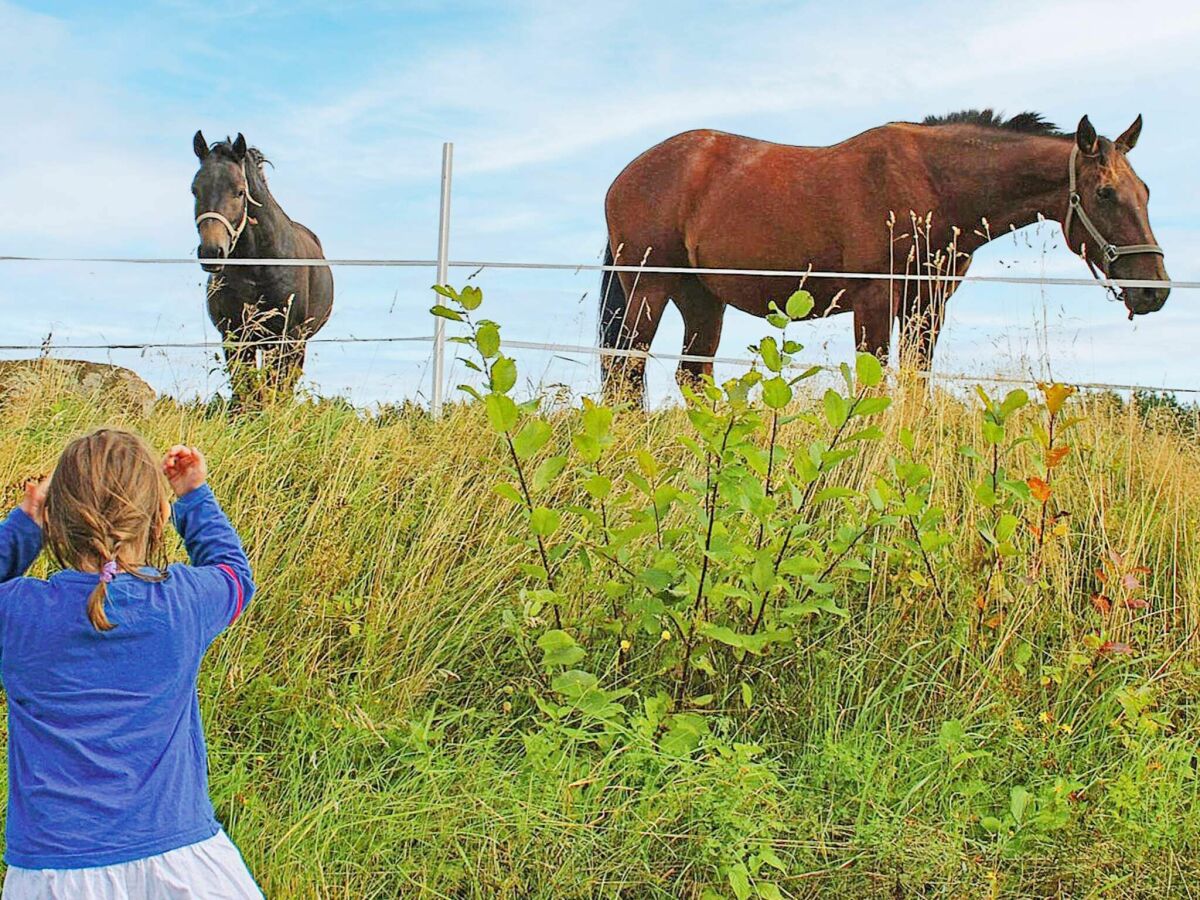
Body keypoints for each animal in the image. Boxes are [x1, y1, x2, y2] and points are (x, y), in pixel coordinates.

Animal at [190, 130, 333, 405]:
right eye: (194, 190)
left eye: (239, 192)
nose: (212, 252)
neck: (259, 269)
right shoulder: (235, 335)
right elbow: (245, 390)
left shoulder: (289, 337)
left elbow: (278, 389)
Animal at [604, 110, 1166, 400]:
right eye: (1105, 194)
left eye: (1145, 191)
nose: (1153, 290)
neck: (934, 183)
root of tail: (626, 175)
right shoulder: (875, 300)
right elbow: (875, 383)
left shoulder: (926, 306)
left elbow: (916, 382)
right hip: (650, 288)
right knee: (625, 369)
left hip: (701, 299)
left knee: (691, 375)